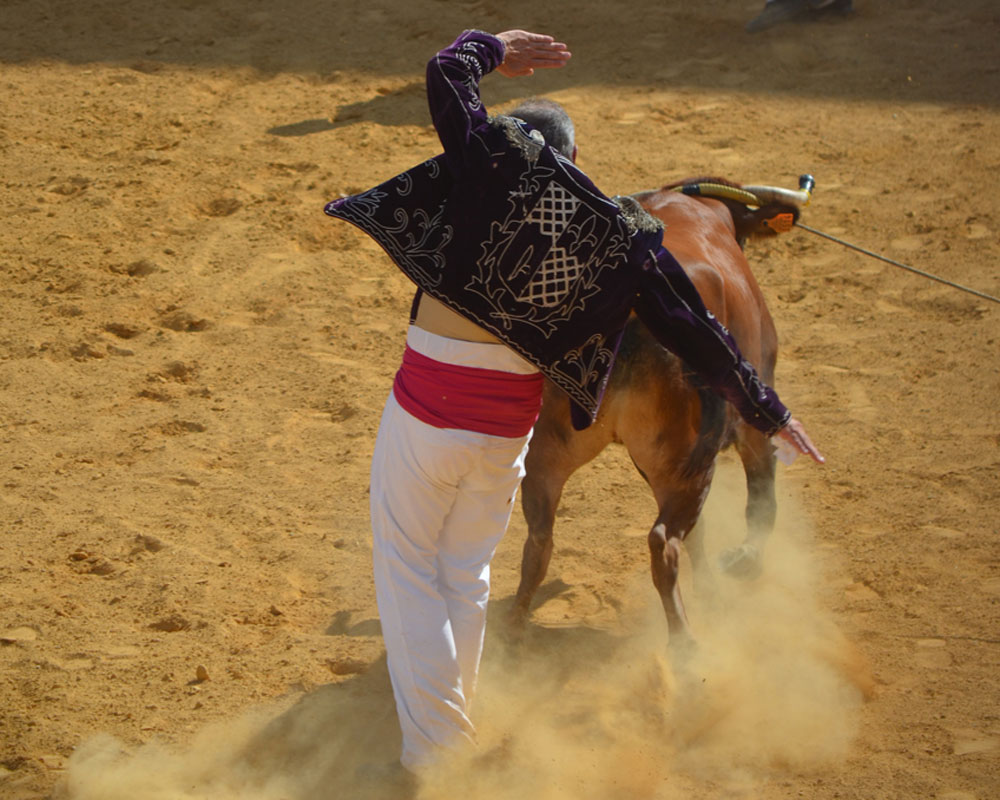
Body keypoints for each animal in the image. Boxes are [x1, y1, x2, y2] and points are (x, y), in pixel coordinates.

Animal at [508, 180, 804, 648]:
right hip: (685, 466)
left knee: (539, 539)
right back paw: (684, 646)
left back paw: (512, 634)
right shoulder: (754, 416)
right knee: (664, 543)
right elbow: (760, 498)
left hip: (545, 454)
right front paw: (744, 562)